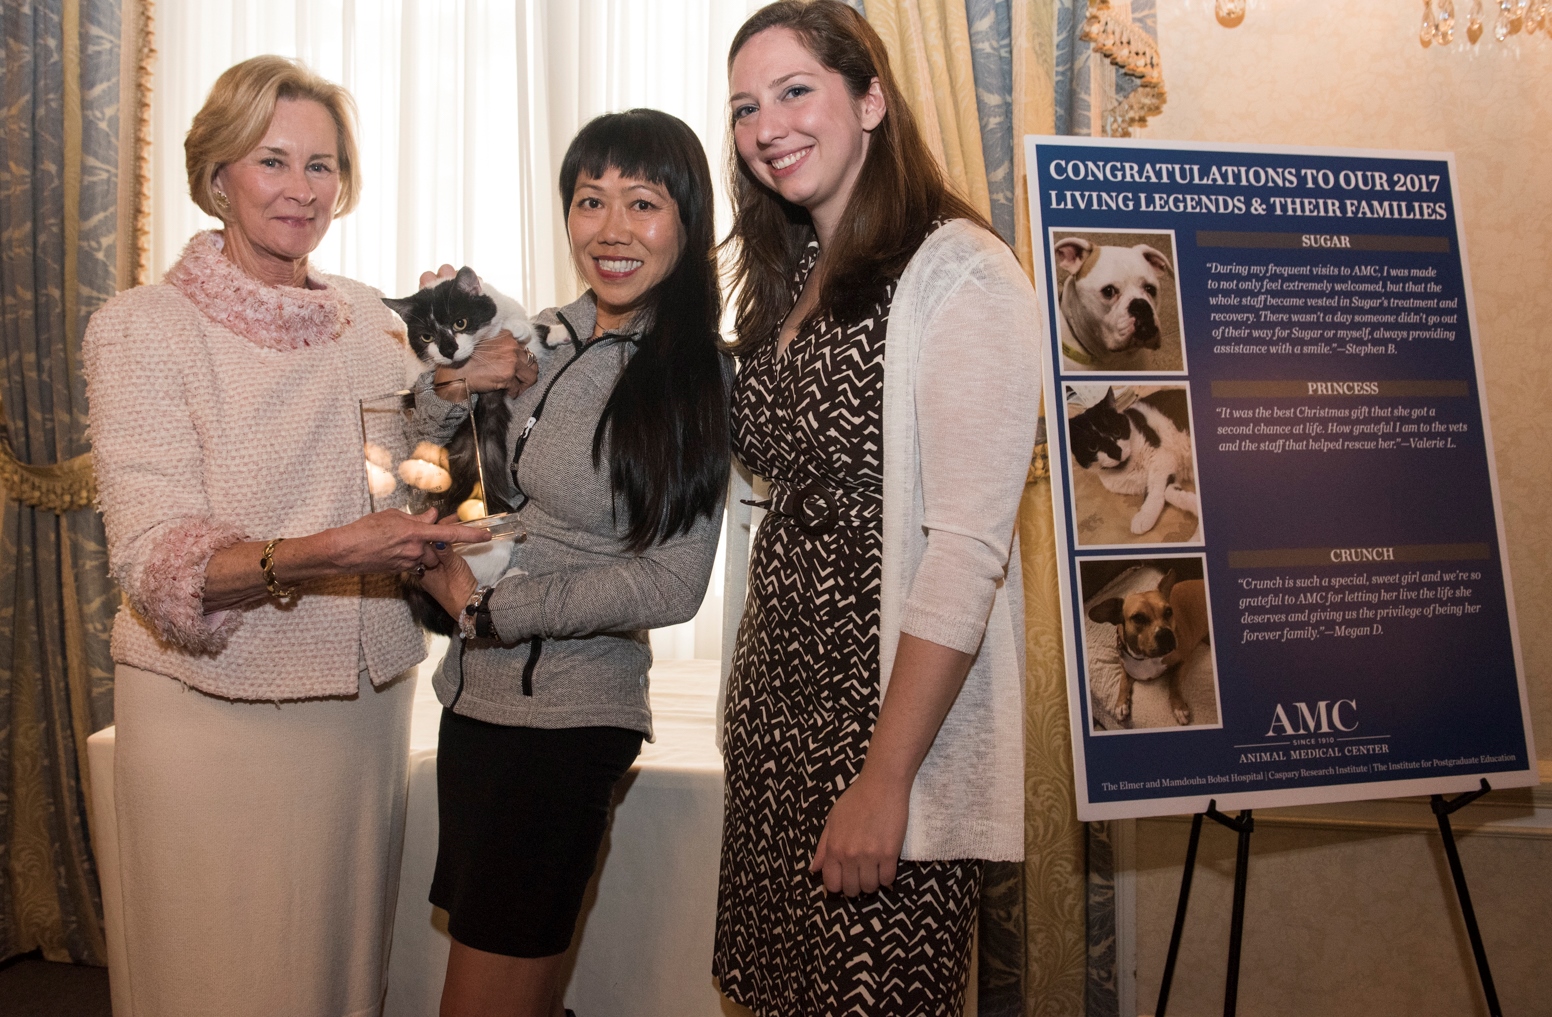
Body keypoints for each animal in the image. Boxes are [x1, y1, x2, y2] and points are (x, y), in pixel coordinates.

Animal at [1067, 386, 1198, 537]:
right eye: (1093, 447)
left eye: (1117, 432)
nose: (1116, 452)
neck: (1129, 467)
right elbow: (1168, 489)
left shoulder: (1162, 458)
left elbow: (1155, 487)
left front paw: (1145, 515)